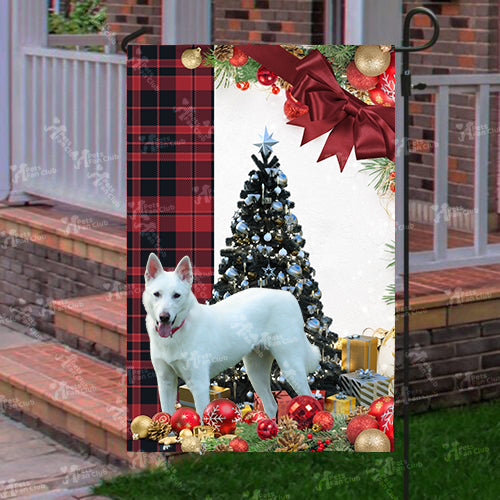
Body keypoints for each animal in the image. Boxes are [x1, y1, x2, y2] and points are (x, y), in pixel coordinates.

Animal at [143, 254, 320, 418]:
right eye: (156, 294)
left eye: (176, 295)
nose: (164, 317)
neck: (175, 334)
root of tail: (289, 296)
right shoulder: (165, 381)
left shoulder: (199, 383)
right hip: (255, 371)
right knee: (271, 405)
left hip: (291, 367)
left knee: (311, 399)